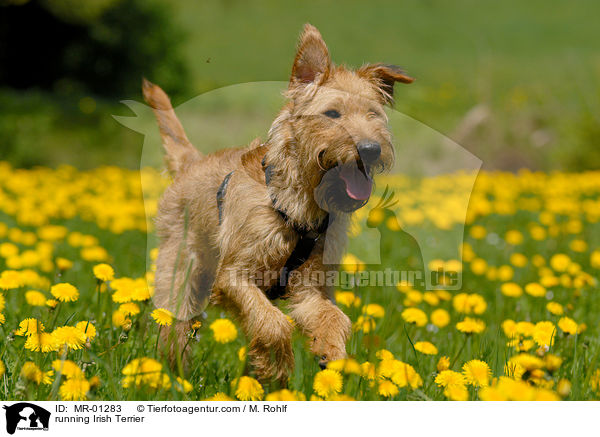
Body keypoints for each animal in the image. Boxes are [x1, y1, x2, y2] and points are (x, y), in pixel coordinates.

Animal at [142, 23, 412, 384]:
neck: (298, 204)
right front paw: (278, 366)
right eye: (332, 113)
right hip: (179, 274)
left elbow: (333, 317)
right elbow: (274, 324)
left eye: (374, 114)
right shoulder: (233, 276)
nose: (370, 149)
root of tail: (191, 163)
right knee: (175, 328)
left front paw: (331, 355)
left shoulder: (310, 286)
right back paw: (173, 379)